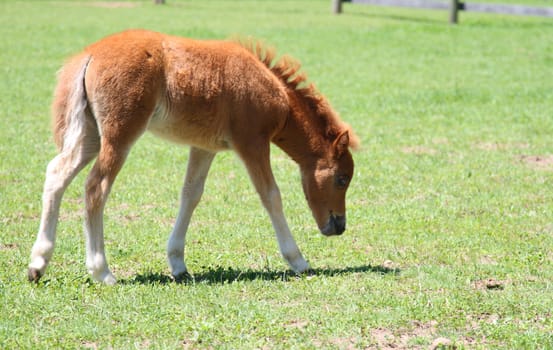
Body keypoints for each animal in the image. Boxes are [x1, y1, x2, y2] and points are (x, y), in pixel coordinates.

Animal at [28, 30, 358, 284]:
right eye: (342, 179)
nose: (339, 226)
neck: (275, 93)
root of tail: (89, 54)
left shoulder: (204, 147)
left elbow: (191, 195)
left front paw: (177, 264)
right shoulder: (252, 142)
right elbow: (271, 196)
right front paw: (298, 260)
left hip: (89, 135)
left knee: (56, 174)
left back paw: (37, 264)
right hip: (119, 134)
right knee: (96, 187)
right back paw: (102, 272)